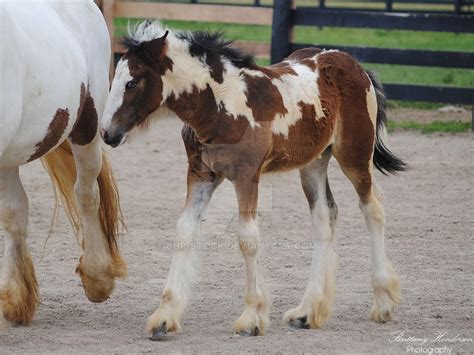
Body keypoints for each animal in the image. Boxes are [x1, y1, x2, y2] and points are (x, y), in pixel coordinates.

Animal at [102, 21, 406, 340]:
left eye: (132, 83)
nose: (107, 133)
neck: (219, 105)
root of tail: (356, 65)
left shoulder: (247, 175)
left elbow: (247, 238)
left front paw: (252, 317)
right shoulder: (201, 174)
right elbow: (184, 231)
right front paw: (164, 317)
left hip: (354, 155)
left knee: (373, 209)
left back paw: (383, 303)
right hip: (313, 163)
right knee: (324, 217)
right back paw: (307, 312)